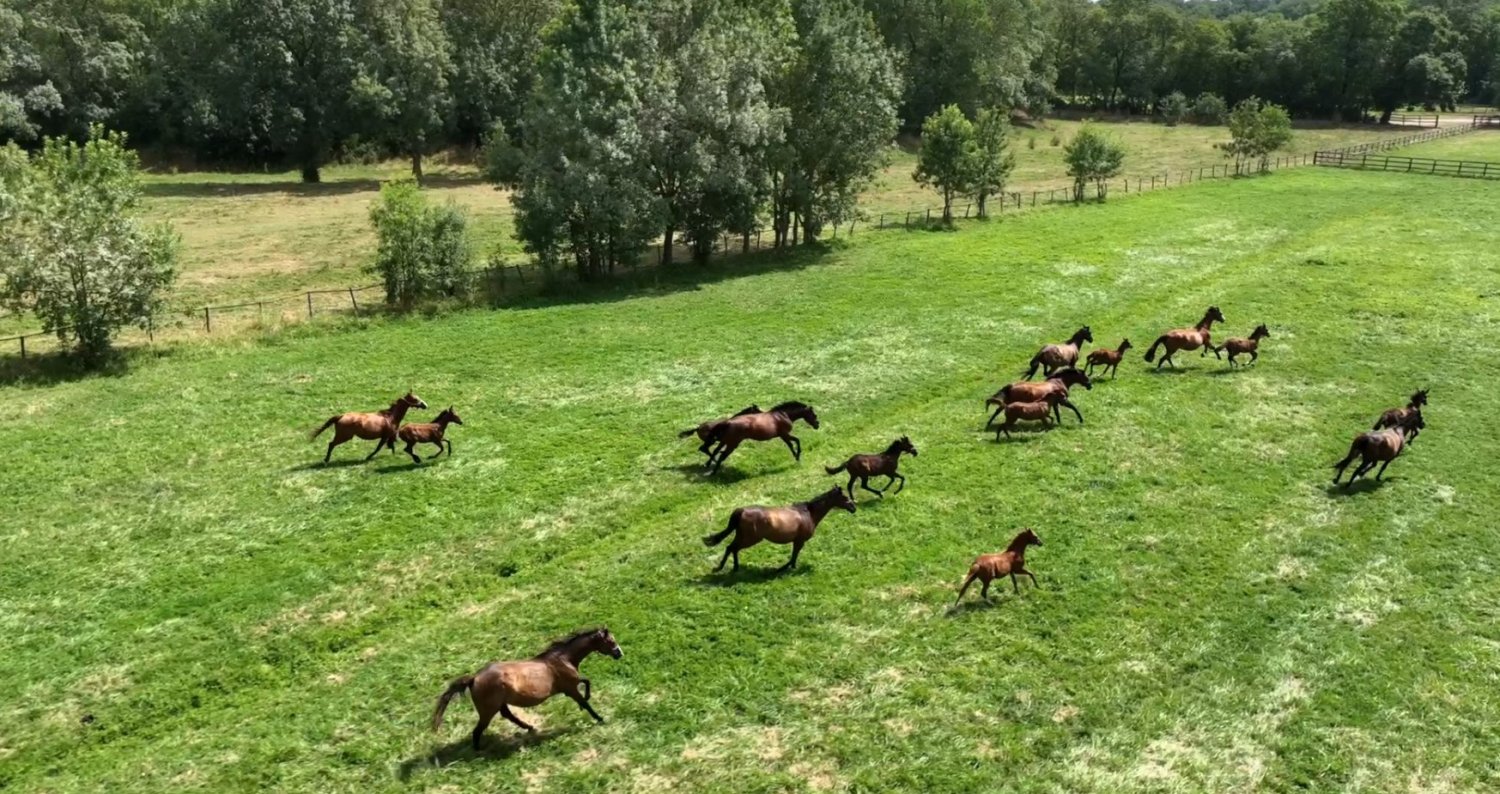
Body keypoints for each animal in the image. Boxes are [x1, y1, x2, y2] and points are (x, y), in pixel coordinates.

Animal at [431, 628, 623, 749]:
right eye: (610, 640)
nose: (619, 653)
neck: (562, 658)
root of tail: (474, 679)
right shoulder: (570, 687)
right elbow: (585, 699)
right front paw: (599, 718)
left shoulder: (569, 685)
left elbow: (586, 682)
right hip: (488, 710)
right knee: (477, 730)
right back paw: (479, 751)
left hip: (500, 704)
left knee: (507, 716)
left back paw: (530, 728)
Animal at [702, 486, 856, 572]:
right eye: (844, 497)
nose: (853, 507)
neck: (809, 514)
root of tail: (742, 511)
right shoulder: (799, 540)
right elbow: (794, 555)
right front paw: (785, 568)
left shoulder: (797, 541)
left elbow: (794, 555)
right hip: (750, 539)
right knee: (732, 548)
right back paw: (722, 568)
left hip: (743, 536)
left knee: (732, 548)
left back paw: (734, 568)